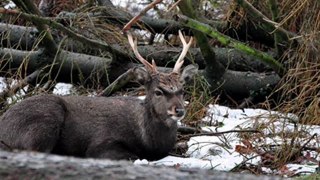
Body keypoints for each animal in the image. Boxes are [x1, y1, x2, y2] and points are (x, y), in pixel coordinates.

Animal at [0, 31, 198, 161]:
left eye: (182, 90)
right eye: (158, 91)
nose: (179, 110)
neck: (149, 142)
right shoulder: (100, 143)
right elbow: (129, 156)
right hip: (44, 120)